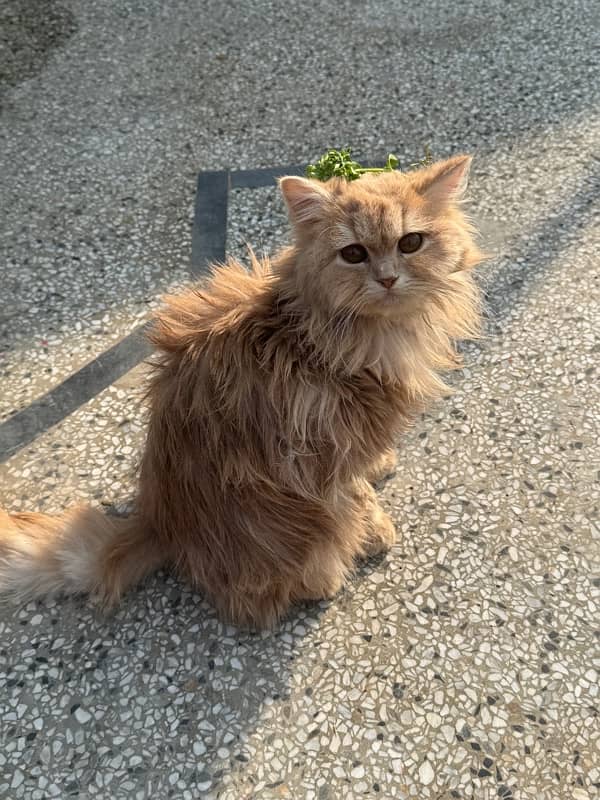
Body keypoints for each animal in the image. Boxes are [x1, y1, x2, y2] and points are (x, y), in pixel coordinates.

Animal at [0, 156, 486, 628]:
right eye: (353, 254)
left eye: (410, 243)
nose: (387, 278)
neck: (312, 333)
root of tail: (160, 522)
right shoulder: (324, 451)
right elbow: (358, 495)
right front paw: (377, 530)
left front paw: (381, 465)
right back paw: (327, 577)